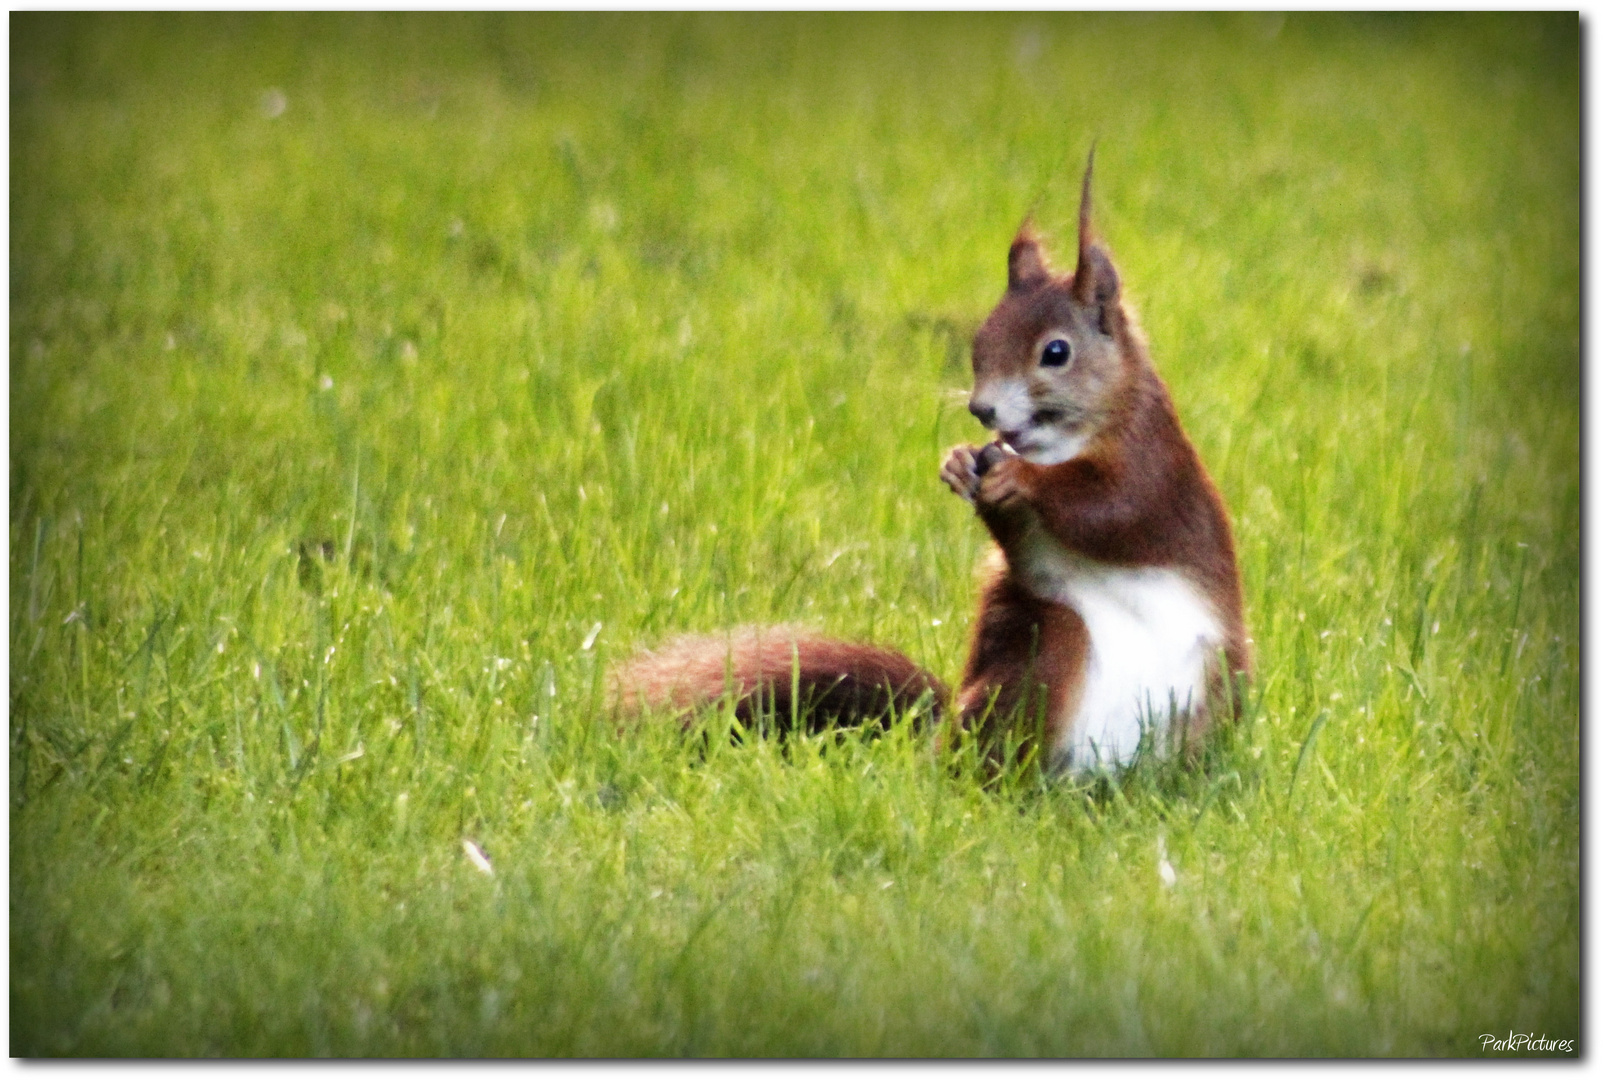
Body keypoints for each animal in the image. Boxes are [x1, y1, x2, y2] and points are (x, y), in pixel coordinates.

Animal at [605, 149, 1243, 775]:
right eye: (979, 343)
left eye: (1056, 352)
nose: (982, 409)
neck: (1064, 442)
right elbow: (1025, 544)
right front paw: (959, 464)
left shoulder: (1154, 464)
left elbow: (1117, 510)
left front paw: (1023, 479)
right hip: (1046, 643)